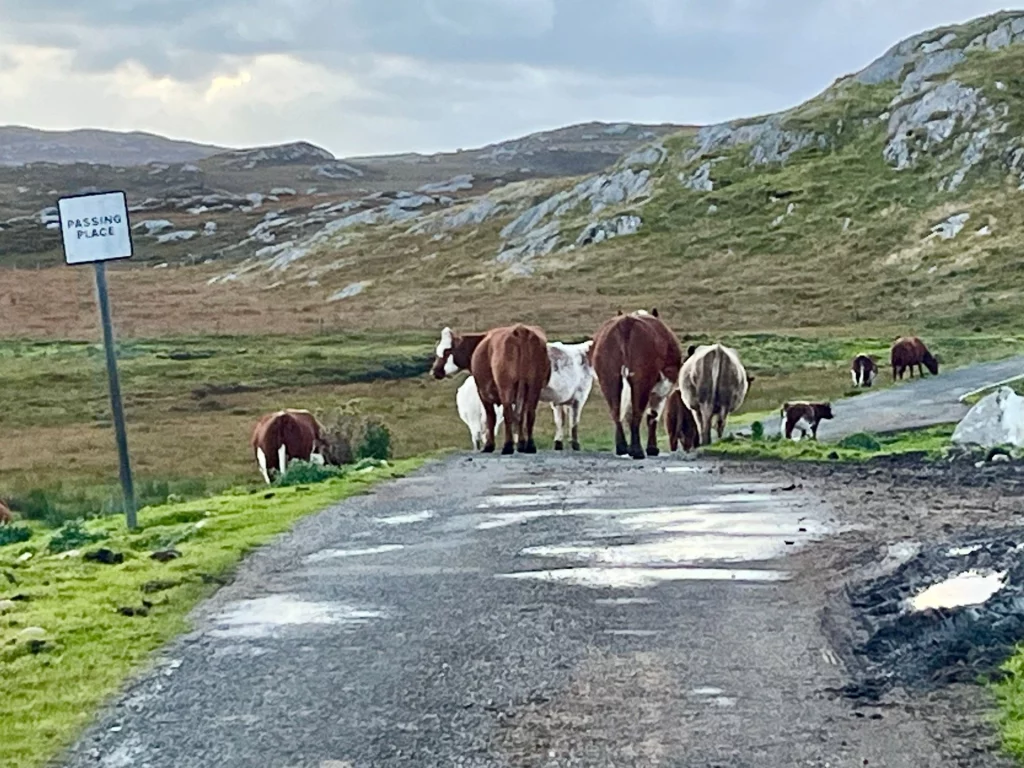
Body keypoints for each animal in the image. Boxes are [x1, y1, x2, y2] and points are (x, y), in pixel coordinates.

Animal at [433, 324, 551, 454]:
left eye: (447, 351)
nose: (435, 370)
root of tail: (520, 329)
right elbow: (521, 417)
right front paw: (521, 444)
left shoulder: (483, 392)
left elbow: (491, 418)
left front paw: (489, 445)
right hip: (534, 385)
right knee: (529, 414)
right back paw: (530, 445)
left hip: (506, 387)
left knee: (508, 414)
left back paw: (508, 446)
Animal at [590, 308, 683, 459]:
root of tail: (626, 321)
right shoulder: (662, 387)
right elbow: (652, 415)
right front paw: (652, 448)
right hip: (641, 380)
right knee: (637, 412)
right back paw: (637, 450)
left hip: (609, 378)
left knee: (616, 411)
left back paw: (622, 447)